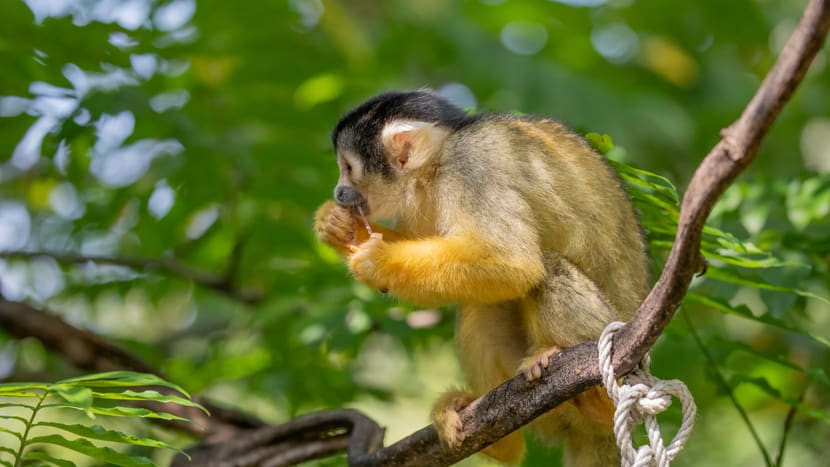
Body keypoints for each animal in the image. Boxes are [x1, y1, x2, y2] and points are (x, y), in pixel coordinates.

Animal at [316, 90, 652, 464]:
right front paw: (336, 225)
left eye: (348, 168)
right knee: (481, 301)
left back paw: (589, 389)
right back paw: (498, 438)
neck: (437, 165)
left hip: (611, 335)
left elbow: (513, 262)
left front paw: (379, 260)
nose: (339, 192)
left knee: (545, 267)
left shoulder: (472, 170)